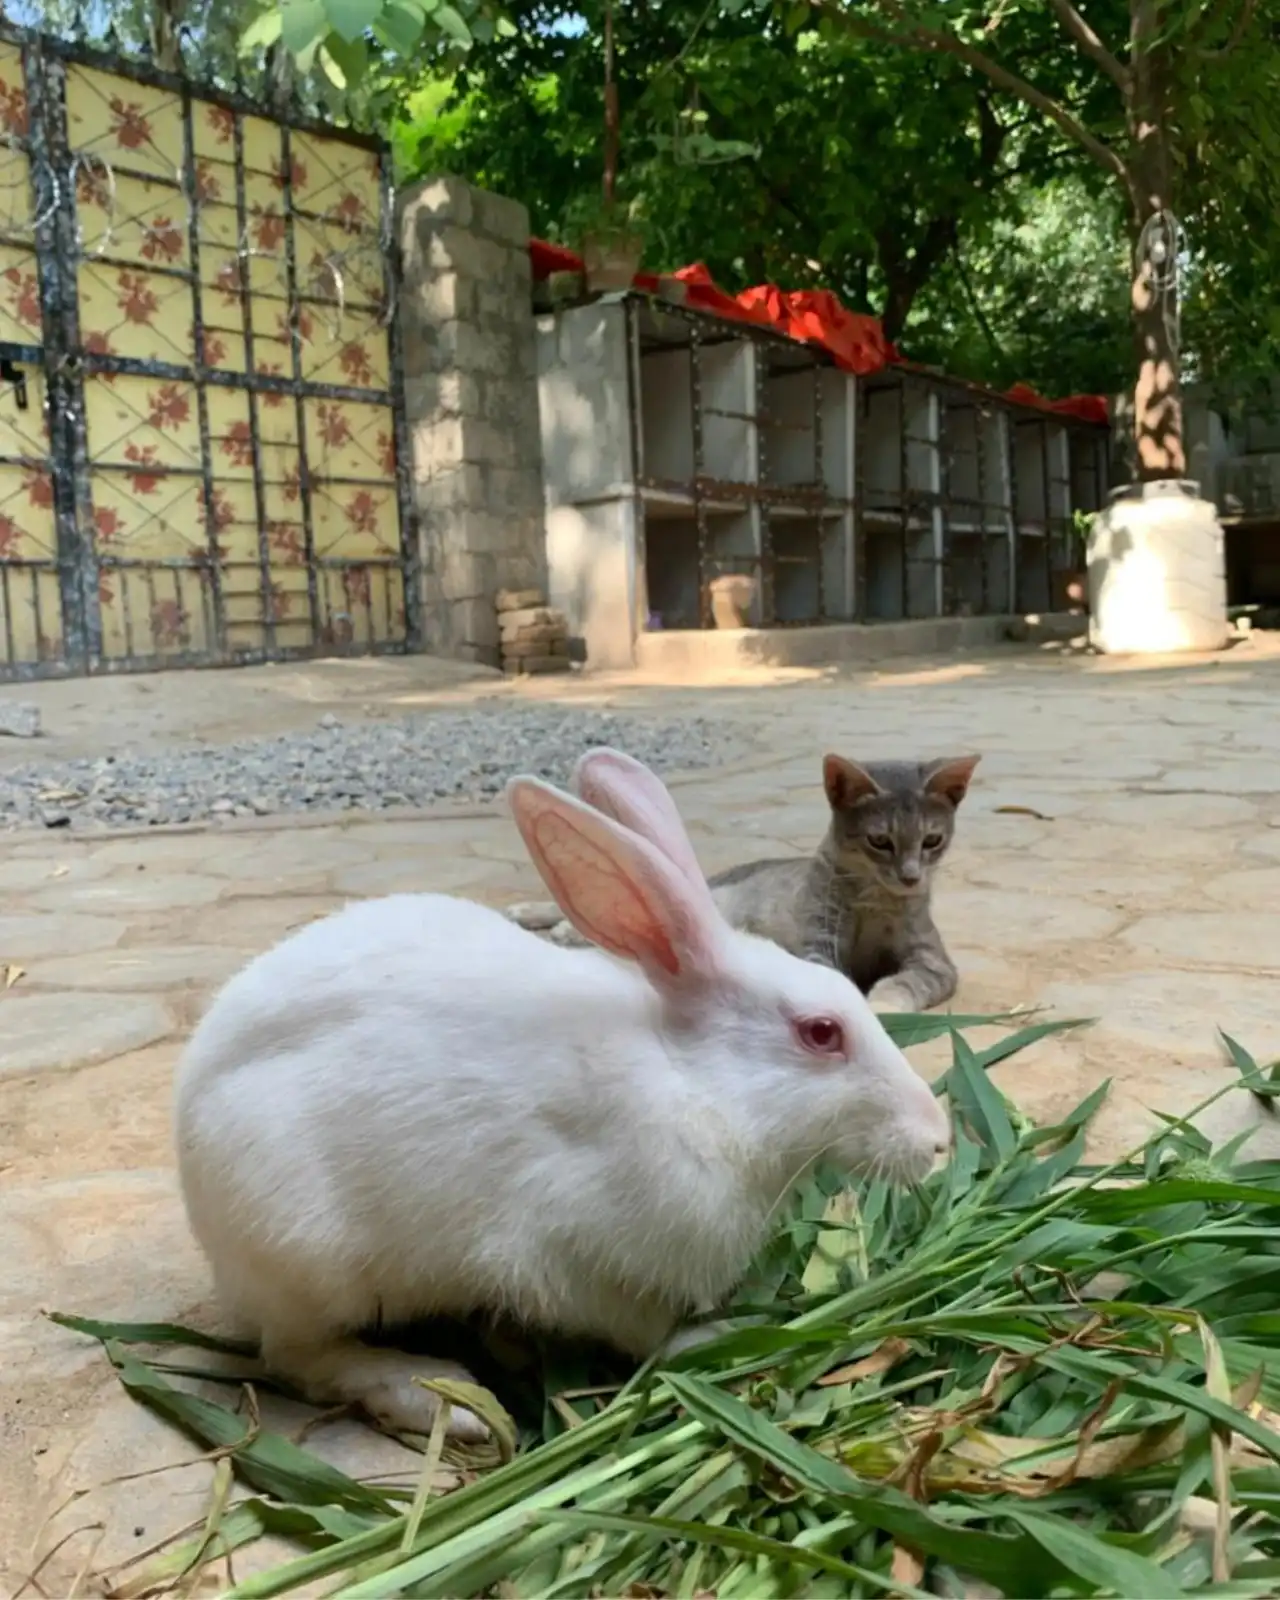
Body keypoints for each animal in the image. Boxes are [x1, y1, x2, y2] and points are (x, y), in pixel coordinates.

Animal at [173, 748, 951, 1442]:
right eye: (821, 1032)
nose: (939, 1137)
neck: (693, 1082)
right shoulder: (585, 1263)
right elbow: (648, 1332)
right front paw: (728, 1335)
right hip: (312, 1258)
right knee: (300, 1354)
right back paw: (440, 1400)